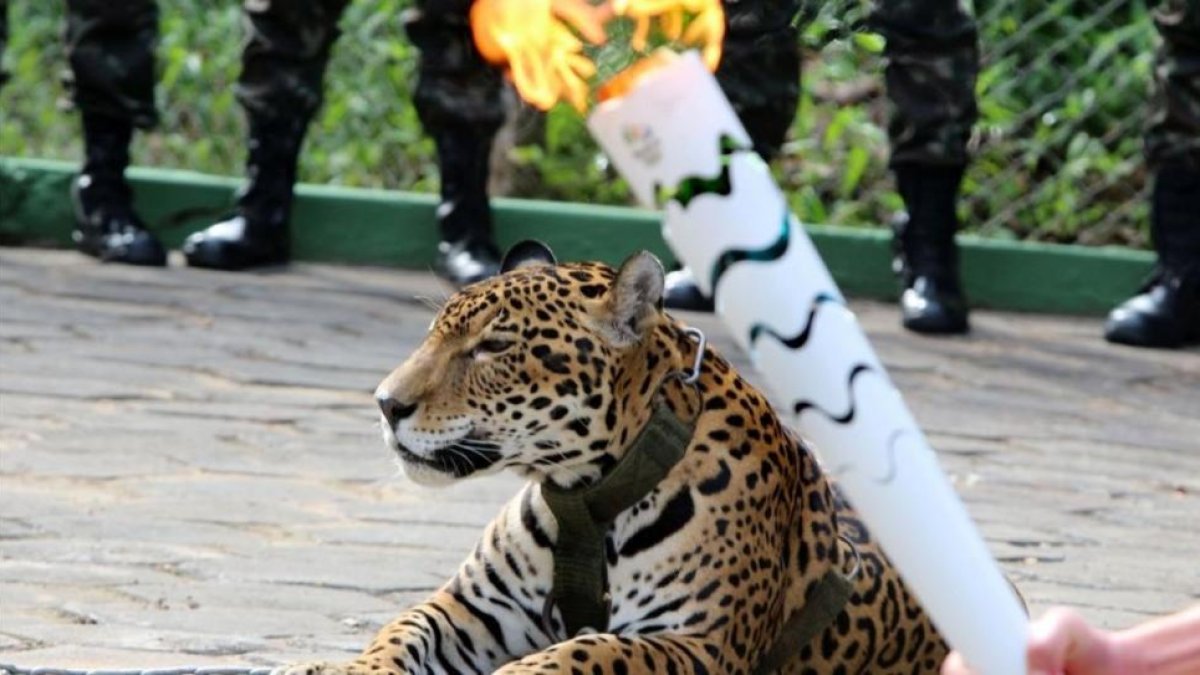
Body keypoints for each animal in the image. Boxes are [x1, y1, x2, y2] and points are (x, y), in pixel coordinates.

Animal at [280, 241, 950, 675]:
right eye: (434, 334)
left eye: (494, 347)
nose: (385, 403)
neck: (584, 494)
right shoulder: (475, 607)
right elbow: (399, 635)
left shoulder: (694, 642)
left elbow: (584, 652)